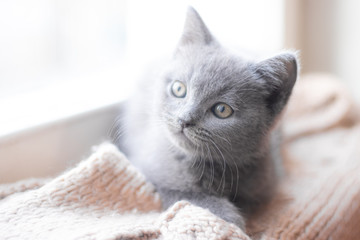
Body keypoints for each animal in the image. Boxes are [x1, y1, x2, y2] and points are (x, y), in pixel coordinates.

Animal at [116, 7, 296, 229]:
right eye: (179, 89)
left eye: (222, 109)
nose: (184, 120)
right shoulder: (149, 175)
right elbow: (188, 197)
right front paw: (230, 217)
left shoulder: (265, 184)